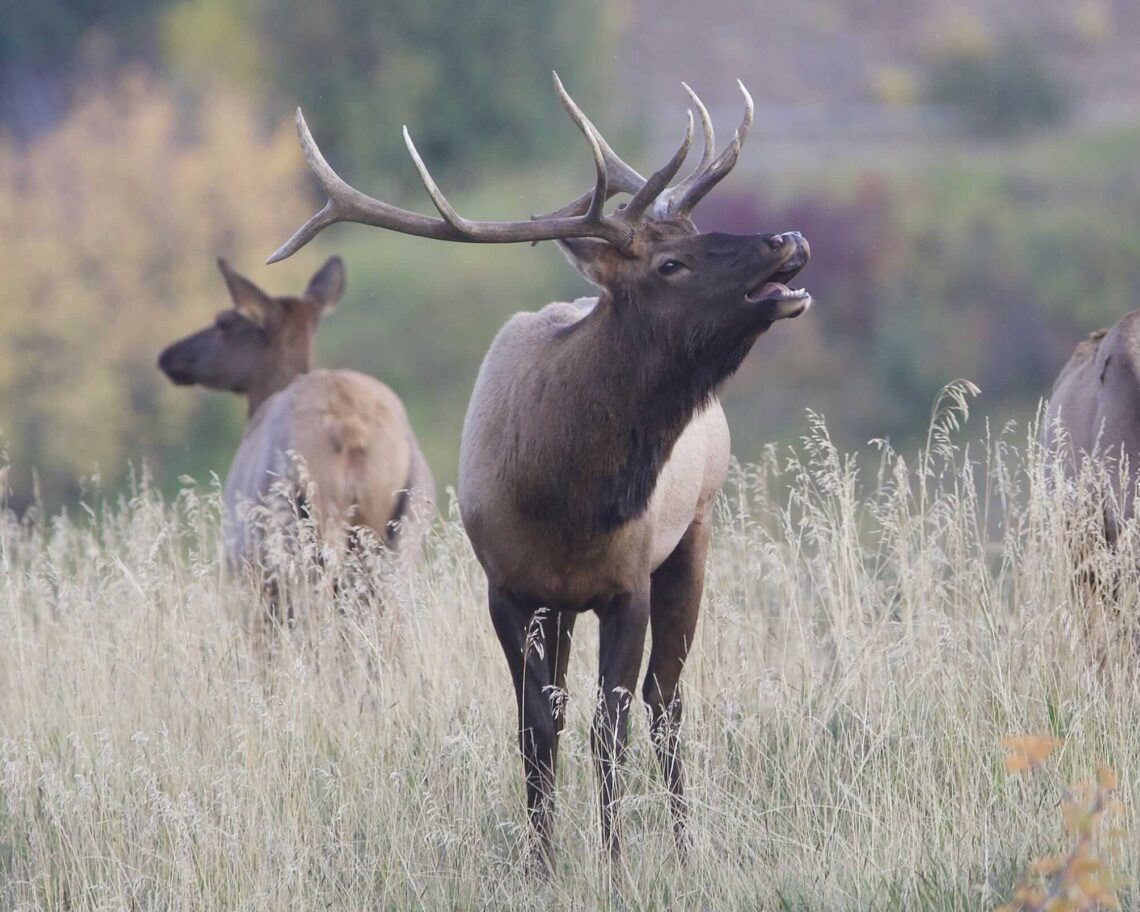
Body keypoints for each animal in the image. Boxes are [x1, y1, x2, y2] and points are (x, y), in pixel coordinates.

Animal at [266, 75, 812, 867]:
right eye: (669, 263)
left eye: (698, 234)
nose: (787, 239)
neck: (566, 497)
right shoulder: (507, 588)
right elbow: (536, 731)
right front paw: (544, 864)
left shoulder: (627, 582)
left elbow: (608, 728)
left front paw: (614, 863)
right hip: (566, 603)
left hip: (695, 531)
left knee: (668, 699)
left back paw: (684, 846)